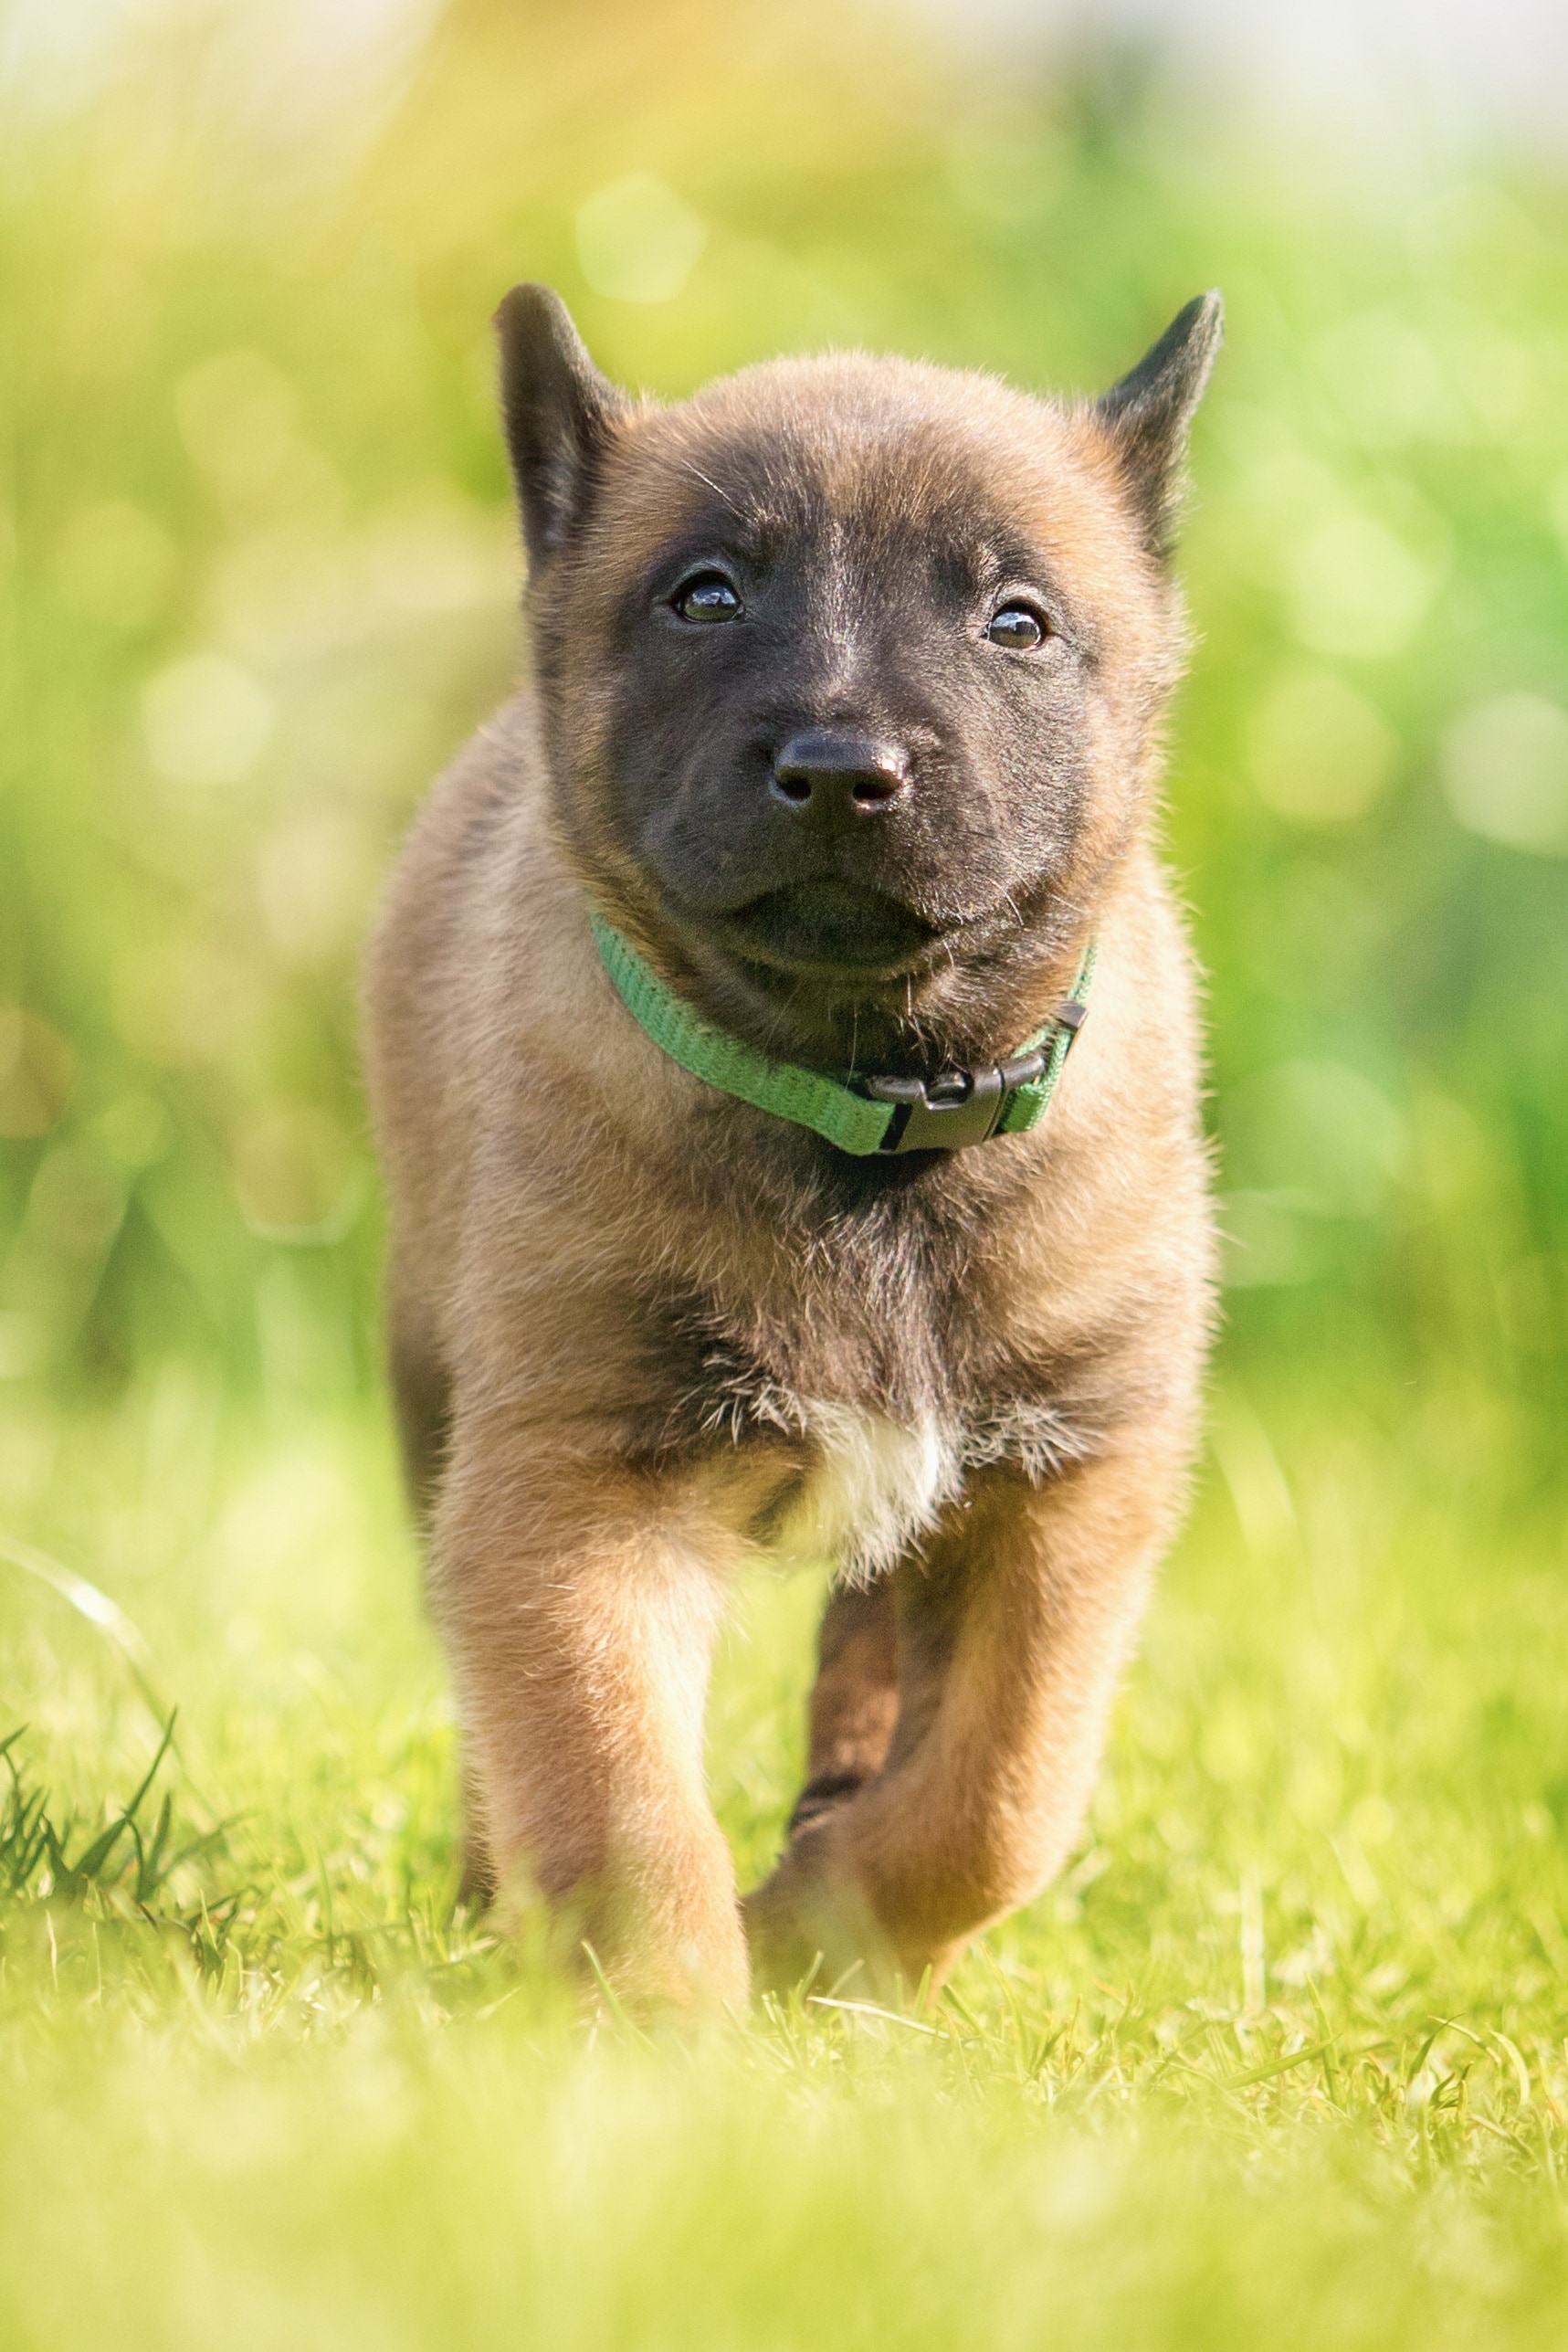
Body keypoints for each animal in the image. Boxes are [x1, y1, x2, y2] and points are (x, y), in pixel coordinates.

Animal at [364, 284, 1222, 2013]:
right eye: (704, 597)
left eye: (1015, 622)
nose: (839, 773)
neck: (868, 1119)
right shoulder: (575, 1480)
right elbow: (613, 1792)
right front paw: (664, 2023)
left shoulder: (1068, 1489)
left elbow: (1000, 1797)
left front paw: (826, 1932)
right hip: (434, 1393)